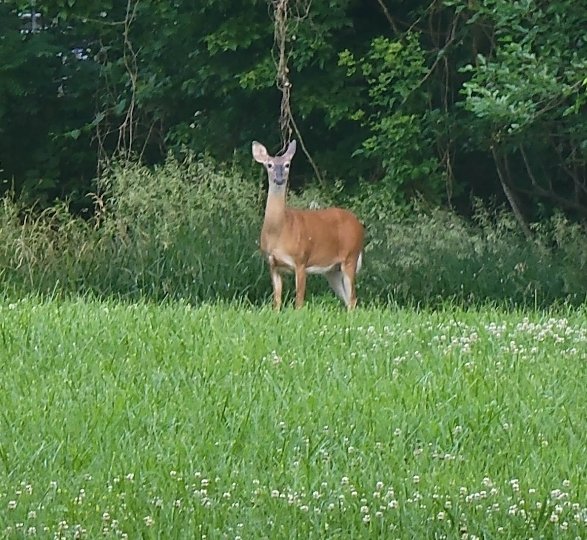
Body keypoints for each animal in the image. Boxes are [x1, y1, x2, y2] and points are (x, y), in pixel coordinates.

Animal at [254, 137, 366, 310]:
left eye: (287, 164)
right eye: (269, 165)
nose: (279, 179)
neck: (279, 232)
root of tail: (359, 226)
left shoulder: (301, 260)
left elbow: (299, 301)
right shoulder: (273, 264)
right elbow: (277, 301)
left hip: (350, 256)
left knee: (353, 299)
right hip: (332, 270)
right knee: (348, 299)